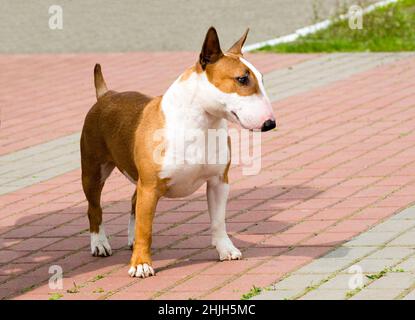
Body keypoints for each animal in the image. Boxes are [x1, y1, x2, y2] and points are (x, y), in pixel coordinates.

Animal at [81, 27, 276, 278]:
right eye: (242, 79)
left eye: (261, 79)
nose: (270, 123)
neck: (201, 123)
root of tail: (106, 95)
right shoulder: (150, 186)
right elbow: (146, 228)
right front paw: (141, 264)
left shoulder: (218, 181)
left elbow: (218, 220)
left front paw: (226, 249)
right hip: (94, 171)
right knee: (94, 207)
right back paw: (99, 244)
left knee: (134, 201)